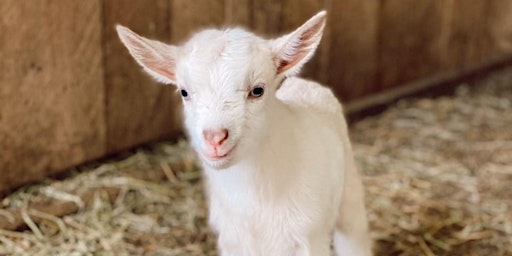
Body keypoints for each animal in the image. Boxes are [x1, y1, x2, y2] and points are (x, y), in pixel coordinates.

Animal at [116, 10, 372, 256]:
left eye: (257, 90)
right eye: (184, 92)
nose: (215, 138)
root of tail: (304, 83)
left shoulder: (310, 237)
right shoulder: (232, 241)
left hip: (349, 191)